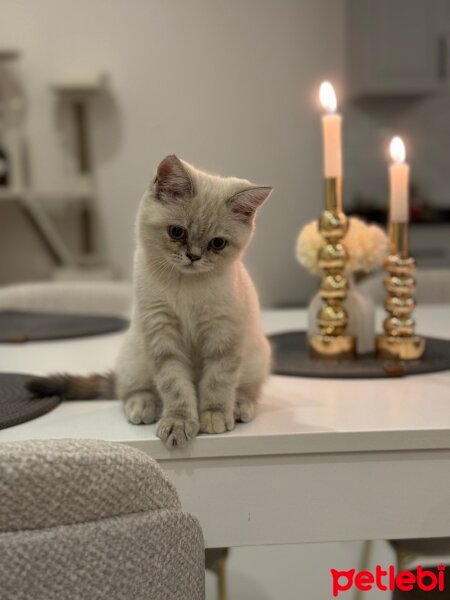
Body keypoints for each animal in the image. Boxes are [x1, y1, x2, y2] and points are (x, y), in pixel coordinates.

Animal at [29, 157, 274, 448]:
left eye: (217, 244)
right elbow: (175, 385)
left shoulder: (223, 336)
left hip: (257, 357)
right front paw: (178, 422)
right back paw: (144, 405)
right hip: (134, 353)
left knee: (247, 389)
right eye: (177, 232)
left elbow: (218, 382)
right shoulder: (161, 333)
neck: (187, 286)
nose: (193, 256)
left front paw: (213, 414)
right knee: (129, 389)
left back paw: (238, 405)